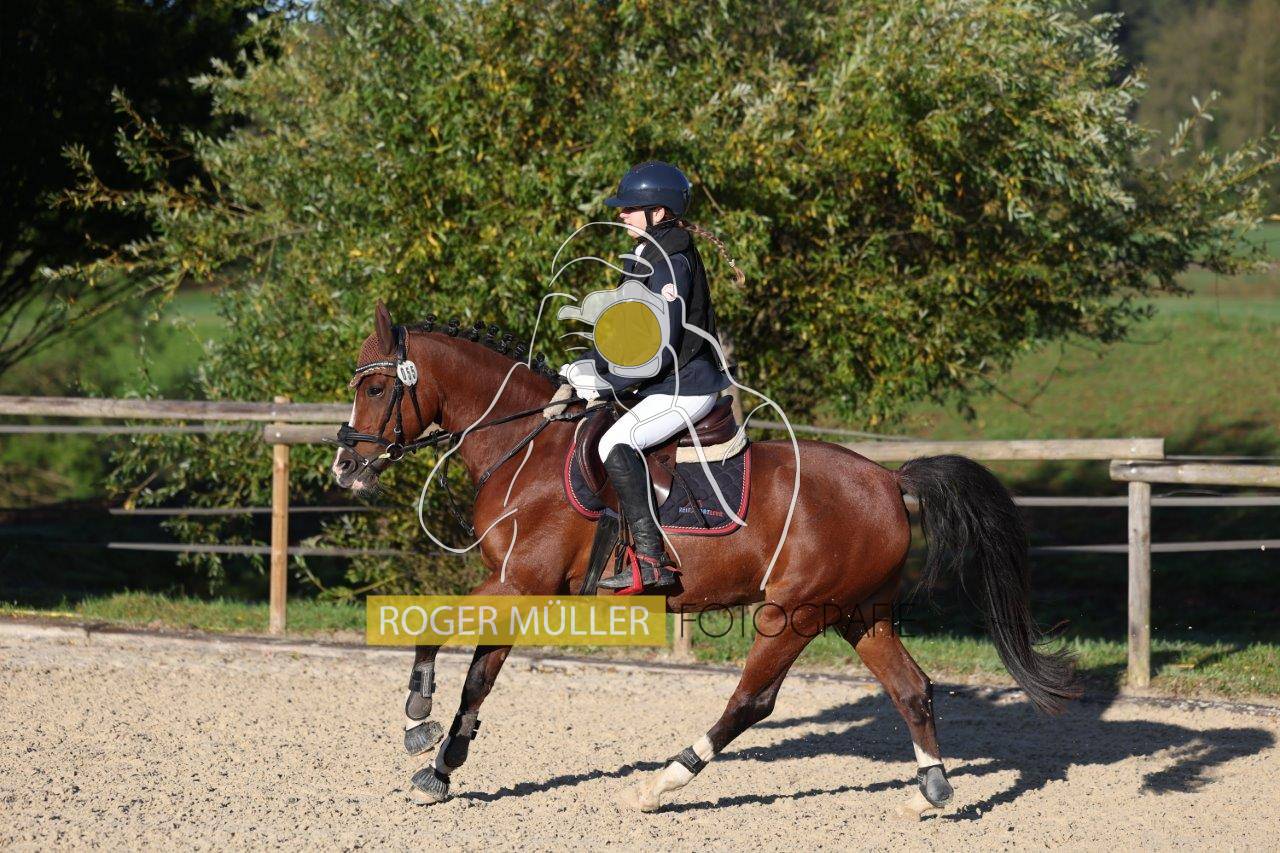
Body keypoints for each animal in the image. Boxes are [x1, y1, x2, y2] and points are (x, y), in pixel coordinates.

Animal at [330, 301, 1078, 817]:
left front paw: (418, 720)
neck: (524, 447)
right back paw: (931, 791)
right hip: (857, 611)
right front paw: (441, 767)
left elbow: (434, 629)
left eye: (374, 389)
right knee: (911, 688)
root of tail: (890, 481)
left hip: (794, 612)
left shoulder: (522, 581)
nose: (344, 467)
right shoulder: (515, 584)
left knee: (752, 700)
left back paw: (660, 785)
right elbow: (480, 677)